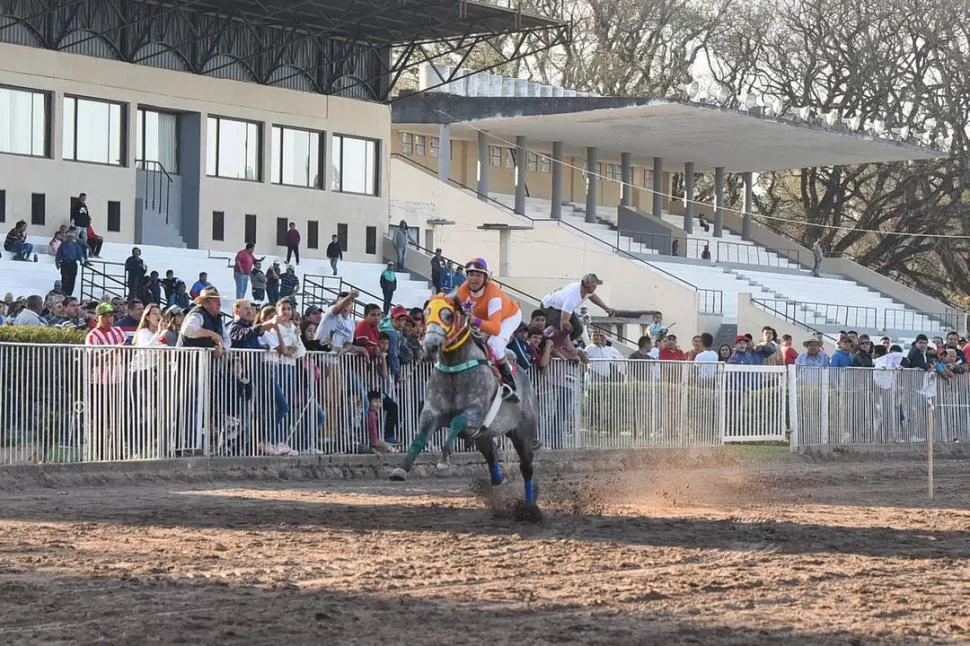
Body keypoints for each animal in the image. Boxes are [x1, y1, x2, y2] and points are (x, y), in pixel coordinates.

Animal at [386, 294, 536, 506]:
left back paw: (530, 504)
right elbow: (419, 439)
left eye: (448, 316)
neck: (454, 366)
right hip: (485, 436)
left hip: (523, 432)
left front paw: (443, 461)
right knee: (492, 457)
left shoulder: (475, 415)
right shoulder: (431, 412)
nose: (430, 346)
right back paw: (499, 481)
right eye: (425, 314)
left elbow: (457, 421)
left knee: (527, 466)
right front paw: (400, 470)